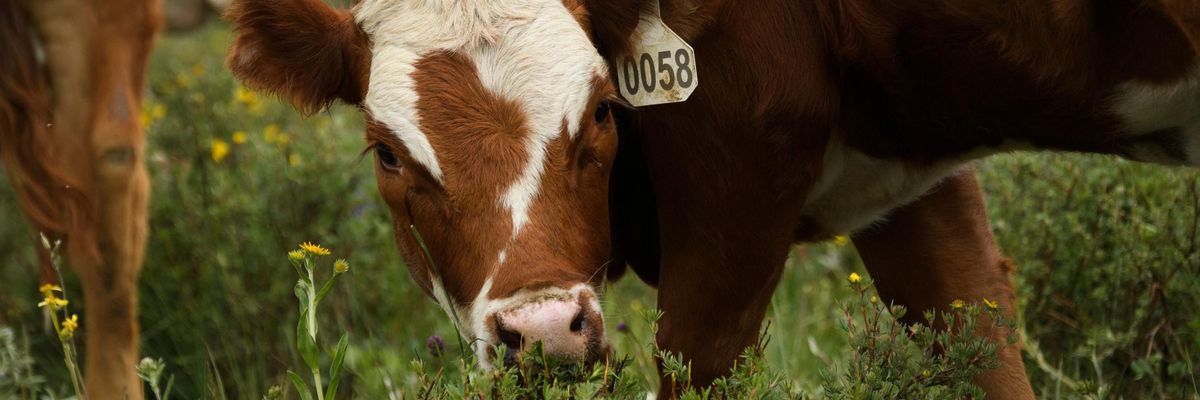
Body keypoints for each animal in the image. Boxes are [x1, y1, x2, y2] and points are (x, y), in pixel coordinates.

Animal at [226, 0, 1200, 398]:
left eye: (603, 111)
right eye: (389, 154)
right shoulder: (910, 182)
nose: (544, 334)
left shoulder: (743, 171)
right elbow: (978, 336)